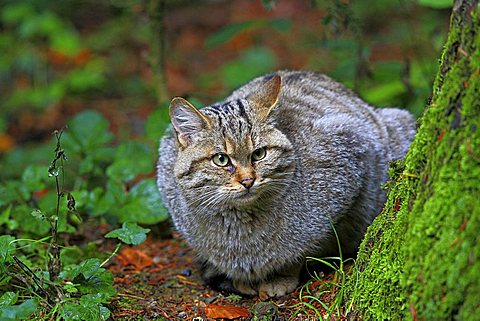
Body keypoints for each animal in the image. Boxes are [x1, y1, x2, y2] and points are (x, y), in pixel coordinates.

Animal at [158, 69, 416, 296]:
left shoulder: (351, 150)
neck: (239, 225)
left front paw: (281, 275)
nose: (248, 180)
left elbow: (304, 248)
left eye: (259, 154)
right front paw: (239, 278)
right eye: (221, 159)